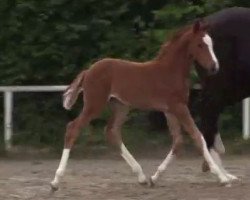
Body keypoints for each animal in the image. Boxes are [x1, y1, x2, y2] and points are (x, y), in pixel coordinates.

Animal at [50, 19, 232, 191]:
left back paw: (142, 177)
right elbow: (197, 136)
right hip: (94, 105)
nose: (215, 67)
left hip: (121, 106)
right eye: (200, 44)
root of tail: (88, 71)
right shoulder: (179, 107)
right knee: (73, 128)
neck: (171, 71)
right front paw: (222, 177)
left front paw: (155, 177)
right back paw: (55, 181)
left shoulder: (170, 110)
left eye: (211, 44)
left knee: (112, 132)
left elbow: (178, 141)